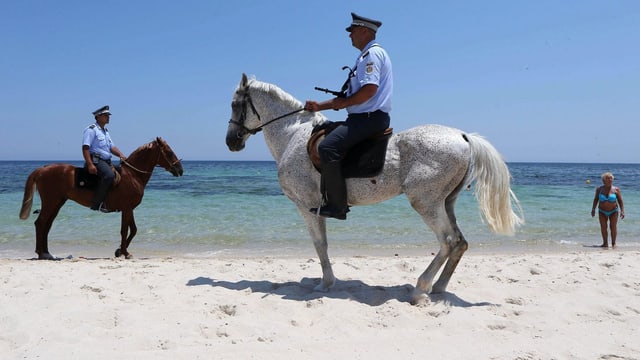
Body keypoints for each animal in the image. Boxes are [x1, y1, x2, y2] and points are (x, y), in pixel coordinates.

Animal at [18, 137, 182, 258]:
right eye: (168, 152)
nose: (180, 169)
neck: (132, 175)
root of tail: (42, 169)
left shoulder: (128, 209)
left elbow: (133, 230)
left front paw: (119, 251)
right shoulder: (127, 208)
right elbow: (125, 231)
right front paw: (124, 253)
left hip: (57, 203)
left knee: (47, 225)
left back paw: (47, 252)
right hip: (51, 202)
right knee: (40, 223)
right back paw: (41, 253)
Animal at [228, 73, 524, 304]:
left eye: (234, 104)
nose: (231, 141)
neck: (292, 135)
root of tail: (463, 137)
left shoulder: (306, 205)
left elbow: (320, 244)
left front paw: (325, 283)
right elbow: (322, 244)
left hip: (425, 203)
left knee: (448, 241)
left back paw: (420, 289)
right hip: (445, 202)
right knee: (460, 242)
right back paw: (439, 288)